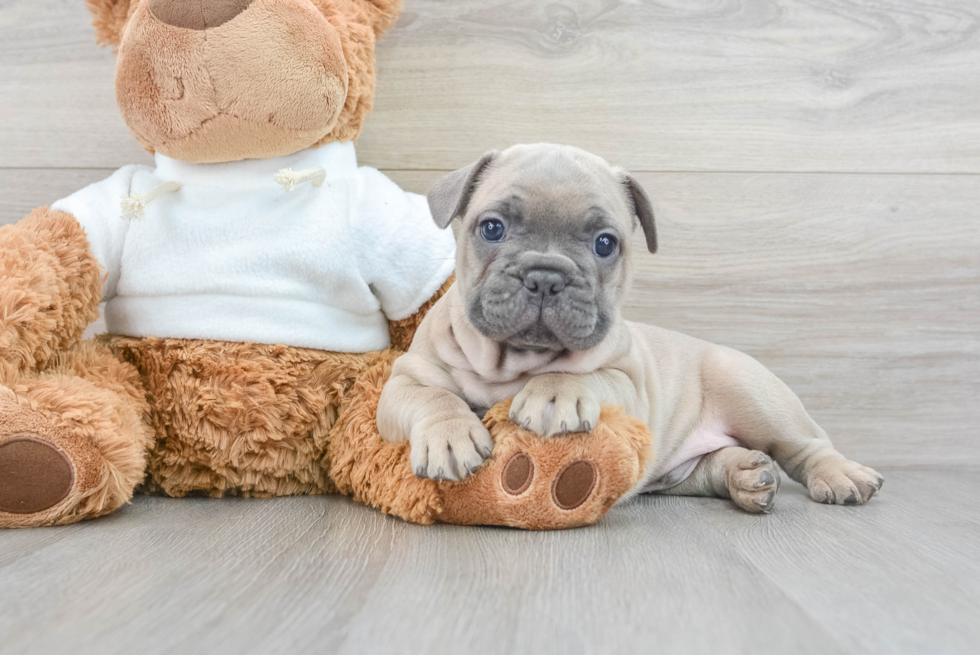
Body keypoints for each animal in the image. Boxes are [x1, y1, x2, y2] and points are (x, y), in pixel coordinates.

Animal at [376, 144, 880, 512]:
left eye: (605, 244)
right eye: (492, 228)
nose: (546, 275)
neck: (515, 361)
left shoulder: (628, 382)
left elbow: (586, 376)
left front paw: (555, 392)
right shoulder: (405, 380)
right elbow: (433, 396)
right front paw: (450, 435)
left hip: (753, 394)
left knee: (806, 444)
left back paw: (841, 475)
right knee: (708, 468)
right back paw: (747, 477)